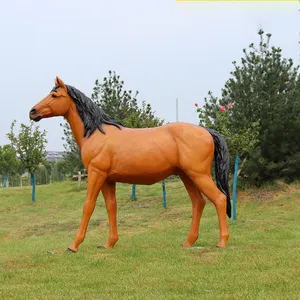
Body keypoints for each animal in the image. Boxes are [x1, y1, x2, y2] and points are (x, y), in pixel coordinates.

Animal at [29, 76, 231, 252]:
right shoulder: (108, 180)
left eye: (55, 95)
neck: (97, 133)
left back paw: (221, 243)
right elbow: (111, 207)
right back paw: (188, 242)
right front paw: (109, 243)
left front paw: (73, 246)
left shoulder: (96, 174)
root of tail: (206, 131)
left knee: (219, 199)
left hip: (199, 175)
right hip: (186, 175)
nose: (33, 112)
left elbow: (88, 205)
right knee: (198, 202)